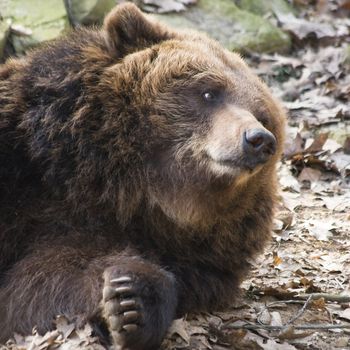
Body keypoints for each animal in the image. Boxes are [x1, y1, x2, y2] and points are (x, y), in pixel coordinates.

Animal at [0, 3, 284, 350]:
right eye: (208, 92)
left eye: (263, 115)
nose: (258, 139)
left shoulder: (184, 255)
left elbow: (41, 283)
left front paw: (131, 301)